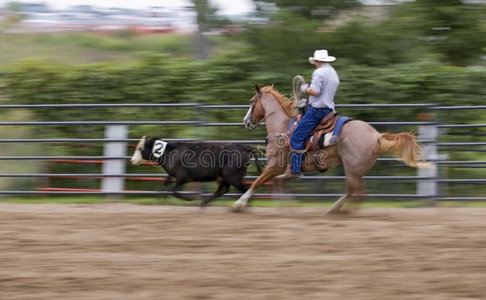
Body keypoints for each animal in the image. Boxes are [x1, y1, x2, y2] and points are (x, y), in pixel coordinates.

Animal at [234, 84, 430, 213]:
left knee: (355, 191)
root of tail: (376, 135)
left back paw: (341, 210)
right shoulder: (285, 170)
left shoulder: (275, 165)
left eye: (252, 102)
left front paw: (239, 204)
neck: (282, 128)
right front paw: (286, 205)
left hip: (351, 169)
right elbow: (277, 182)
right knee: (355, 191)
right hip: (357, 171)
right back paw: (337, 208)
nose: (246, 121)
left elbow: (258, 182)